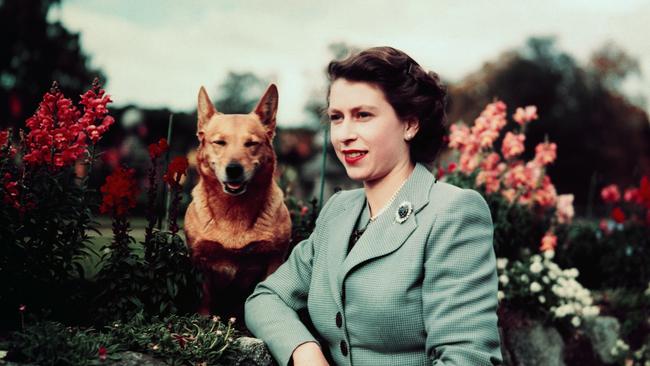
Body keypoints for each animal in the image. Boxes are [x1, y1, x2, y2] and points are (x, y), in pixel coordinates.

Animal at [185, 84, 292, 316]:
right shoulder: (201, 262)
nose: (234, 169)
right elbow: (205, 300)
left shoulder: (274, 259)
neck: (234, 210)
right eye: (219, 142)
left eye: (251, 143)